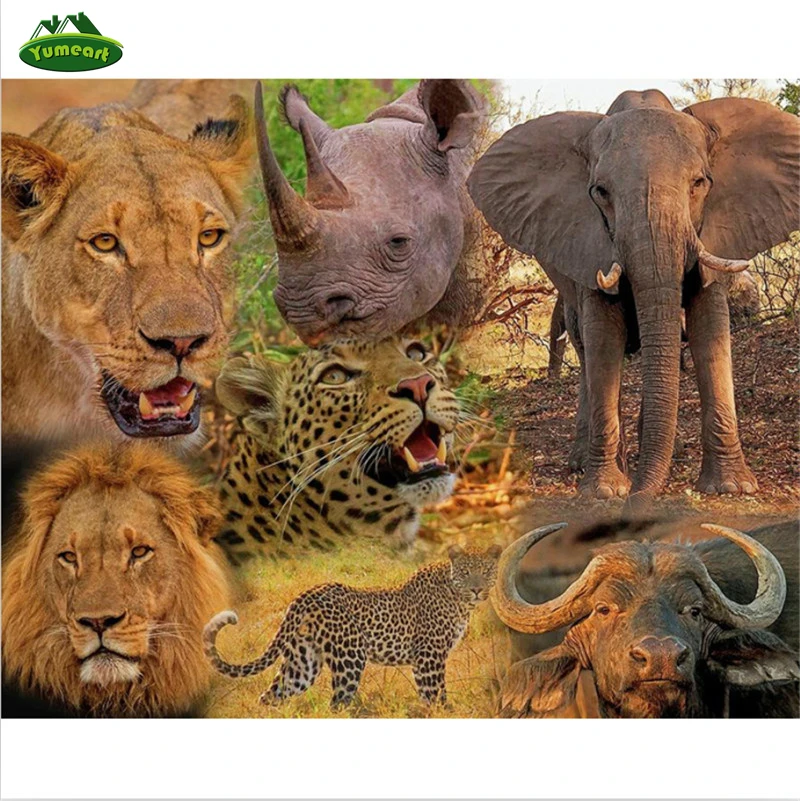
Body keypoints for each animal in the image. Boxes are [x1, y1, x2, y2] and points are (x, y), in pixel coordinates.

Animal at [468, 89, 800, 506]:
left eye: (699, 183)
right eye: (600, 193)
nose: (640, 499)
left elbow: (709, 329)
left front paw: (731, 487)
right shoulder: (586, 240)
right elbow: (604, 340)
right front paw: (606, 490)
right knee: (586, 351)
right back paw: (586, 462)